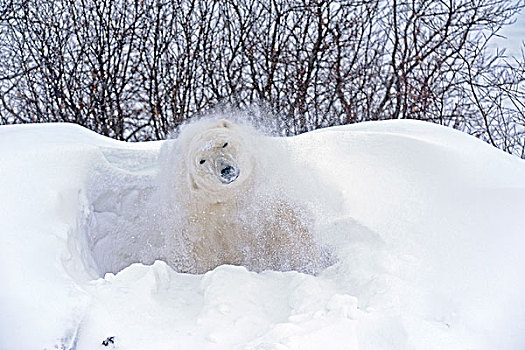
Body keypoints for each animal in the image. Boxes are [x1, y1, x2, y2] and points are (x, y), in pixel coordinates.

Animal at [160, 119, 324, 274]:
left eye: (224, 144)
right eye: (202, 160)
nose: (226, 170)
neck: (232, 195)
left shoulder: (266, 191)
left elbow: (290, 224)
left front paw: (304, 264)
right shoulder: (195, 214)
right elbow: (191, 249)